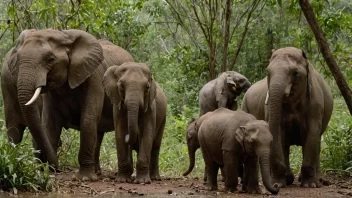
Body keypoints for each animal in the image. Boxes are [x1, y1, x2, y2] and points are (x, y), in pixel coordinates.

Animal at [1, 28, 133, 181]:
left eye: (51, 60)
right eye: (18, 58)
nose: (56, 167)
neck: (63, 35)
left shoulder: (94, 77)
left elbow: (88, 120)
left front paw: (85, 178)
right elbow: (50, 124)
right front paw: (49, 172)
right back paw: (97, 172)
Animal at [242, 47, 332, 188]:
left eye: (295, 72)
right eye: (268, 71)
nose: (275, 185)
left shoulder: (316, 104)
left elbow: (312, 134)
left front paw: (309, 185)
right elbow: (278, 132)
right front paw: (278, 184)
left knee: (316, 142)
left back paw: (315, 180)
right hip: (245, 106)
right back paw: (288, 179)